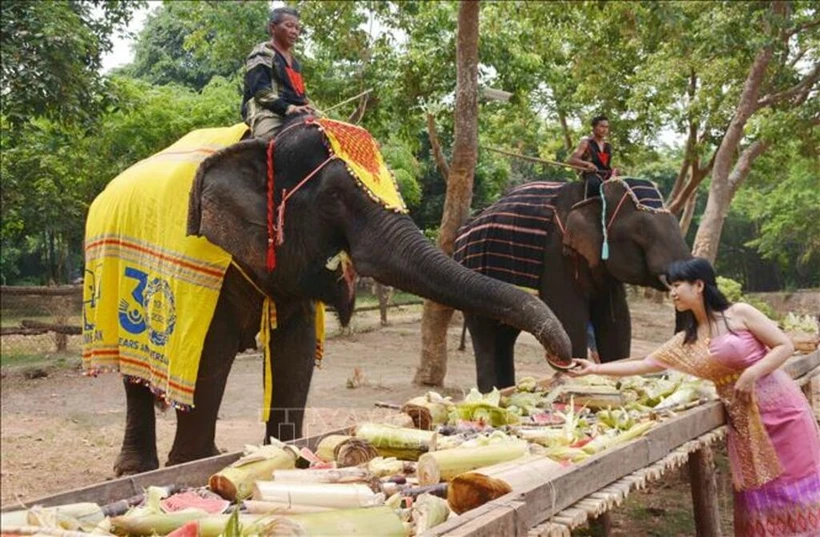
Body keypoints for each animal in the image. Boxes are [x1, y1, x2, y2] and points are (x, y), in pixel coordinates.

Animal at [85, 116, 572, 474]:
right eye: (335, 196)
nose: (561, 359)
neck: (264, 143)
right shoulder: (207, 261)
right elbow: (209, 354)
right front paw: (194, 466)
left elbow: (296, 353)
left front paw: (285, 454)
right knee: (134, 371)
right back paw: (134, 471)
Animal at [454, 178, 692, 392]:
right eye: (640, 236)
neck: (593, 196)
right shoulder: (556, 256)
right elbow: (571, 318)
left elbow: (617, 324)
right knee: (485, 335)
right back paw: (491, 392)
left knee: (504, 338)